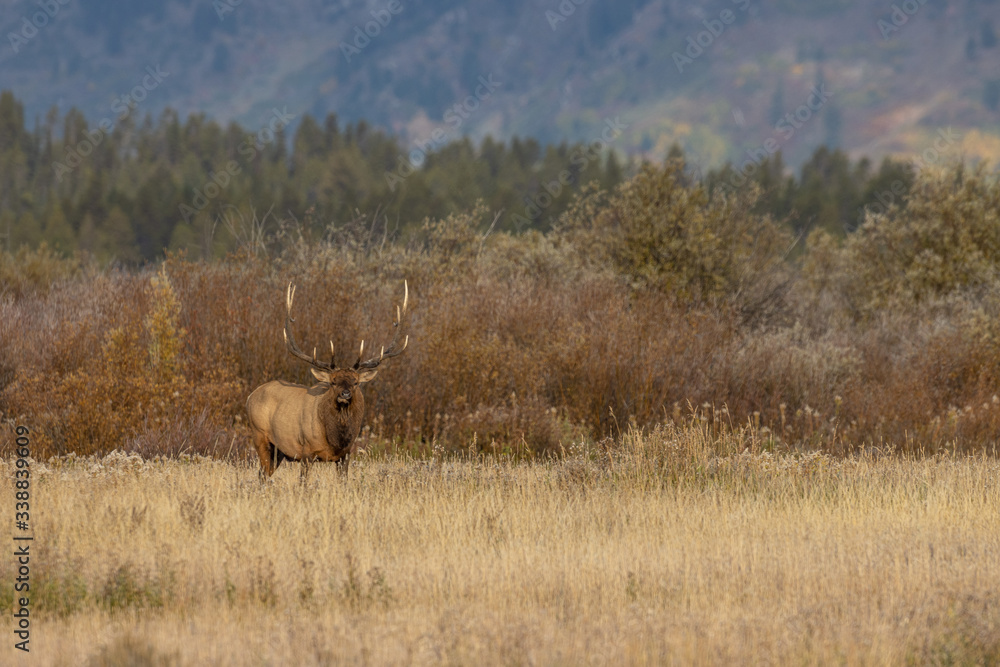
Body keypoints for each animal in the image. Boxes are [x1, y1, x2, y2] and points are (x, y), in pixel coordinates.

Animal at [246, 281, 408, 480]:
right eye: (333, 381)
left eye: (356, 382)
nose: (345, 394)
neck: (335, 439)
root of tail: (250, 397)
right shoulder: (306, 451)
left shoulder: (345, 455)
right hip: (260, 436)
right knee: (262, 474)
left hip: (279, 451)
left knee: (264, 474)